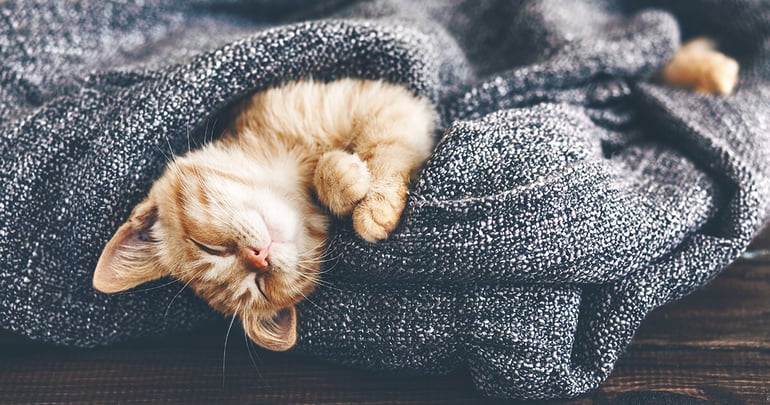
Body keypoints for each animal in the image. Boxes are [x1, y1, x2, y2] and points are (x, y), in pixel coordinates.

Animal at [91, 79, 432, 350]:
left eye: (210, 248)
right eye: (261, 286)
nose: (259, 257)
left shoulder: (381, 104)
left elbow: (385, 144)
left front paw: (374, 204)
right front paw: (343, 179)